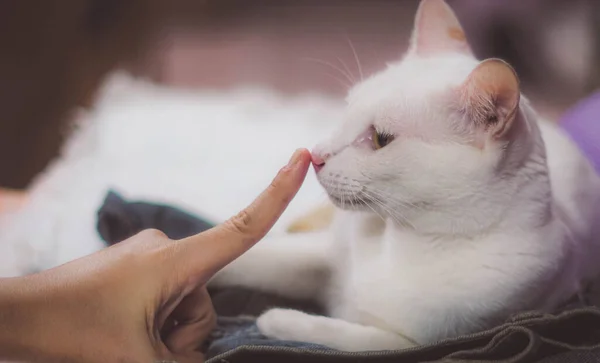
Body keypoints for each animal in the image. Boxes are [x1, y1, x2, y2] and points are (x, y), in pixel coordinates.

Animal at [209, 0, 600, 352]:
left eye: (381, 139)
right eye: (347, 107)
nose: (317, 155)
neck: (401, 240)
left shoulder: (410, 343)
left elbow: (337, 334)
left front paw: (273, 319)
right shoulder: (318, 254)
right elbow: (254, 257)